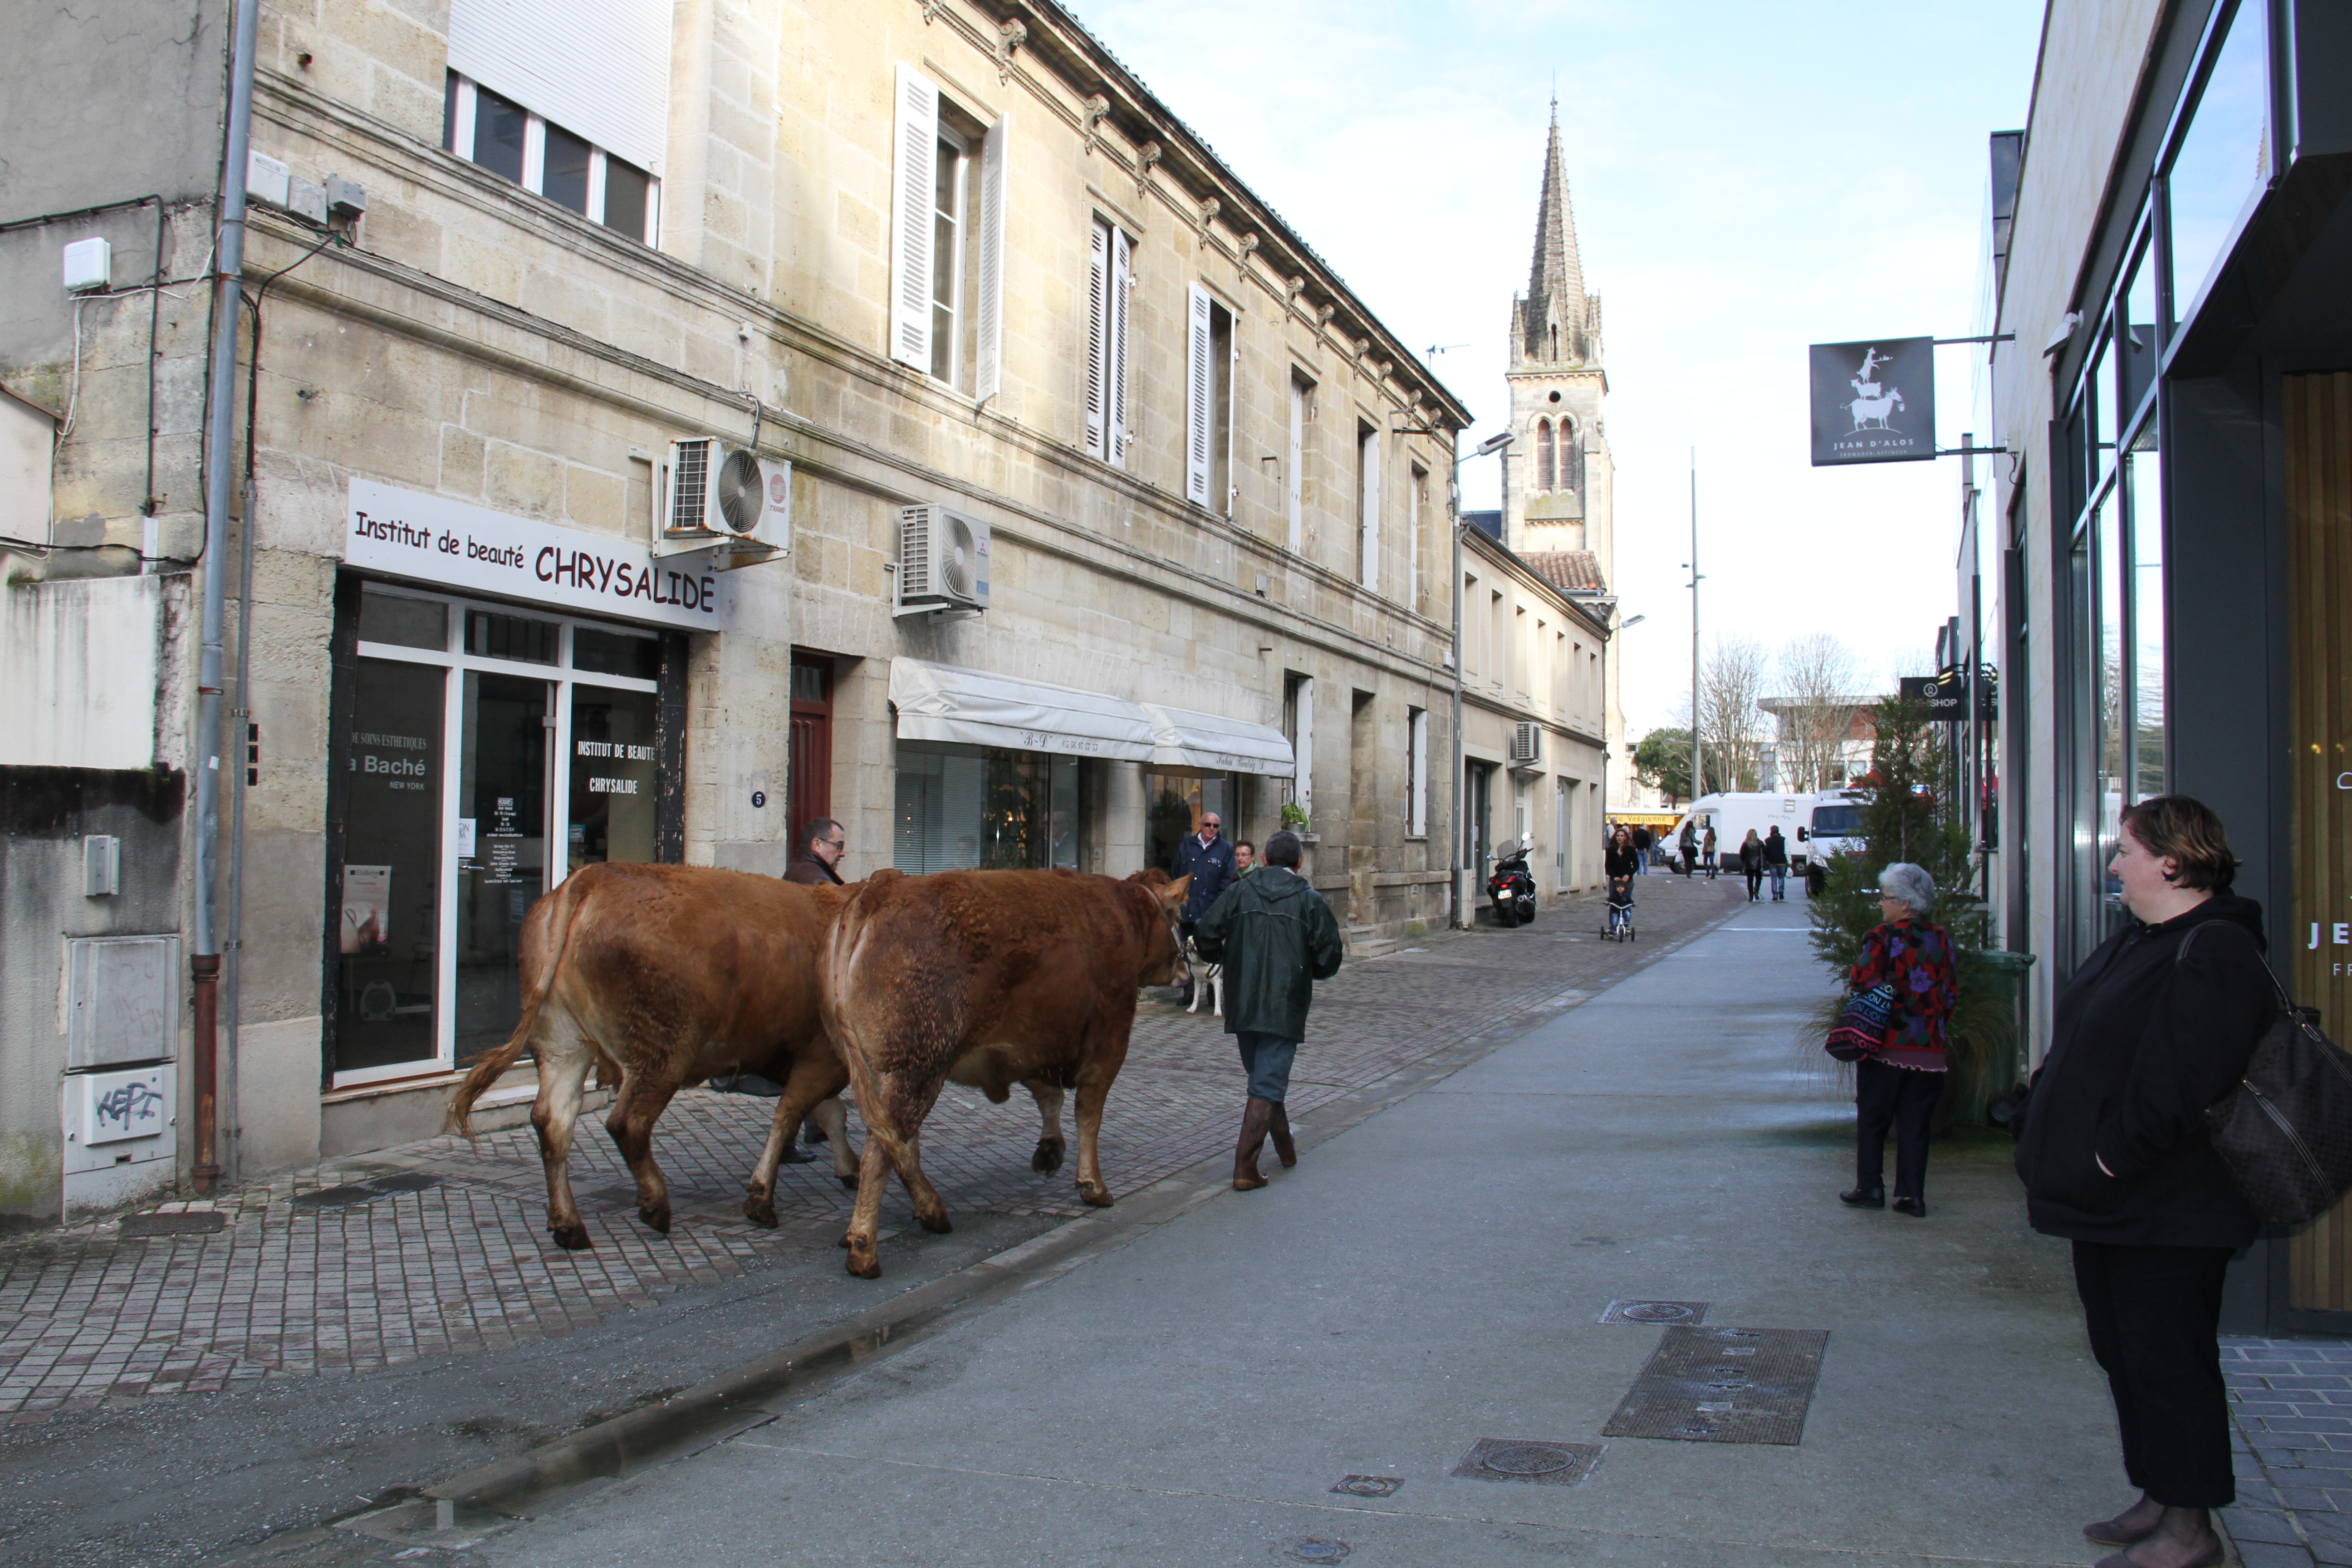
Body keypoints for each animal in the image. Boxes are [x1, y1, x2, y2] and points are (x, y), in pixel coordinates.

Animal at [444, 860, 861, 1250]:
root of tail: (591, 878)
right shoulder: (823, 1057)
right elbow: (792, 1115)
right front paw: (762, 1201)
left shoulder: (806, 1059)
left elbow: (831, 1114)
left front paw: (850, 1169)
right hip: (663, 1050)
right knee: (627, 1123)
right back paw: (655, 1206)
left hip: (562, 1043)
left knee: (553, 1121)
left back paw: (569, 1226)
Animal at [828, 865, 1195, 1279]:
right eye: (1178, 915)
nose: (1186, 967)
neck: (1122, 915)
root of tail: (885, 886)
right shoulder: (1109, 1040)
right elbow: (1089, 1116)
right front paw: (1094, 1186)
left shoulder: (1030, 1044)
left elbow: (1049, 1096)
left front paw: (1050, 1150)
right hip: (916, 1068)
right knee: (881, 1152)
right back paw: (865, 1250)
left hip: (883, 1072)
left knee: (900, 1144)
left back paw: (927, 1212)